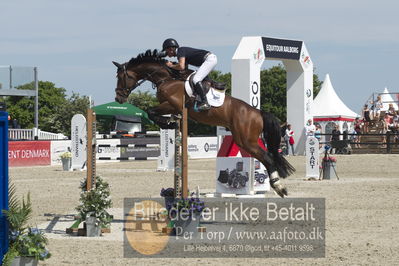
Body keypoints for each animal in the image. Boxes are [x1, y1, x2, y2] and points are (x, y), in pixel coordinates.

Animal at [112, 50, 294, 197]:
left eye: (121, 77)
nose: (118, 98)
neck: (166, 79)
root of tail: (258, 113)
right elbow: (154, 113)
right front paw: (171, 123)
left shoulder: (172, 105)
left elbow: (150, 111)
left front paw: (168, 124)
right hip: (243, 139)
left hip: (246, 140)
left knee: (267, 158)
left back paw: (279, 187)